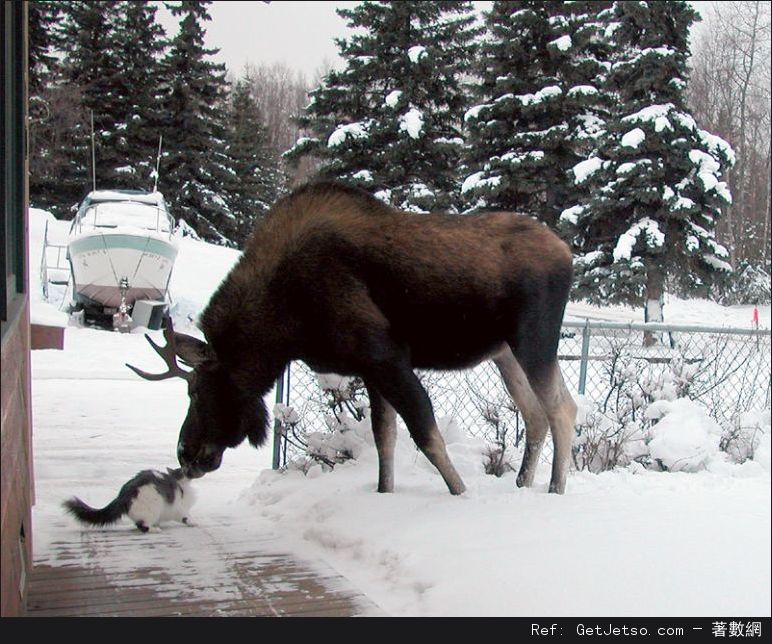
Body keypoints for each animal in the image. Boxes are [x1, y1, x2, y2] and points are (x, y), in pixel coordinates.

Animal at [63, 468, 196, 532]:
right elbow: (186, 517)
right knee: (142, 526)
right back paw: (155, 529)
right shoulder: (179, 509)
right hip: (151, 508)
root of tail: (123, 494)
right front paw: (193, 523)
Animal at [128, 181, 572, 494]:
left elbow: (427, 436)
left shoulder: (386, 357)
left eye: (197, 391)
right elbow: (384, 440)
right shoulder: (371, 370)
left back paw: (554, 489)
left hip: (534, 342)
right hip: (505, 353)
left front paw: (461, 493)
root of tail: (568, 254)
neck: (284, 325)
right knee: (535, 414)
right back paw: (522, 483)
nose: (185, 453)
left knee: (563, 409)